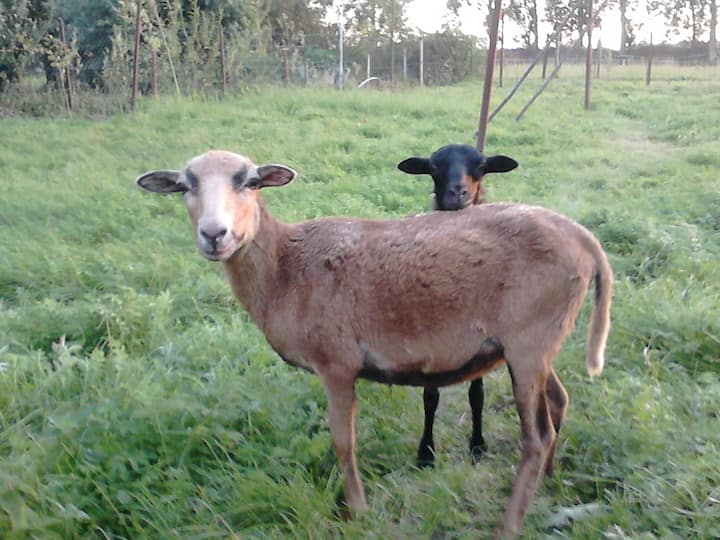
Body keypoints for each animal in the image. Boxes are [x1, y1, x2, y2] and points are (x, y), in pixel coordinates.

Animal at [398, 143, 519, 467]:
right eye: (433, 167)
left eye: (482, 166)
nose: (458, 192)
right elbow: (430, 398)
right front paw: (426, 453)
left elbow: (477, 394)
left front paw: (477, 445)